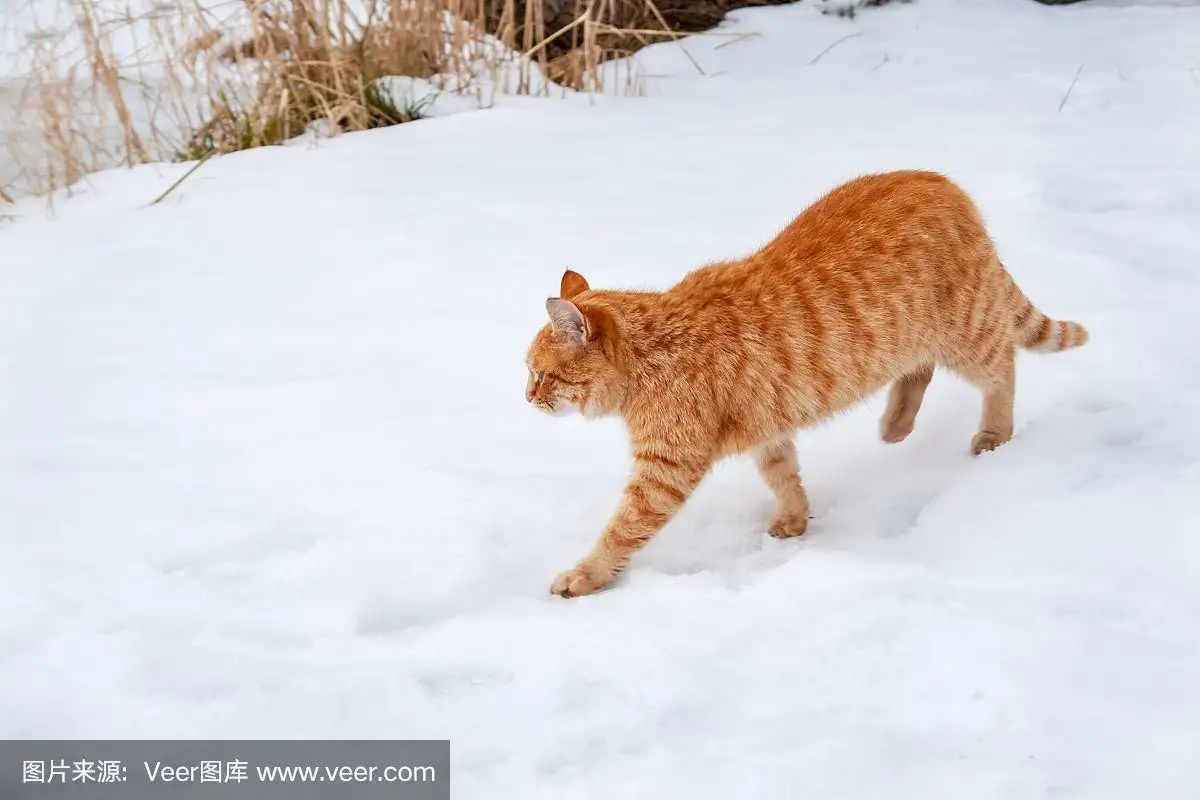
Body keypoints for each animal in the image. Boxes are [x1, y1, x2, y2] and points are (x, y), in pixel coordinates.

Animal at [525, 175, 1089, 599]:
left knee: (1002, 367)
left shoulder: (664, 470)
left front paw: (586, 574)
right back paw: (897, 423)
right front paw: (795, 519)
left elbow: (622, 530)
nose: (527, 398)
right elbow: (784, 475)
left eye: (541, 374)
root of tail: (945, 183)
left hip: (967, 333)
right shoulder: (766, 429)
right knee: (920, 368)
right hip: (912, 338)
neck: (655, 346)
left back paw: (994, 432)